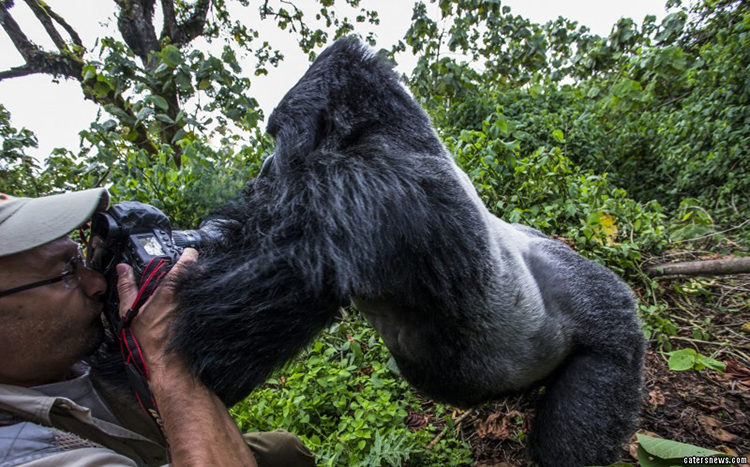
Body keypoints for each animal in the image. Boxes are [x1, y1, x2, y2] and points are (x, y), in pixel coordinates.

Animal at [170, 37, 648, 467]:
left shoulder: (367, 190)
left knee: (598, 374)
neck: (392, 134)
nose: (265, 171)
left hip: (608, 324)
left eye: (276, 137)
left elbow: (210, 341)